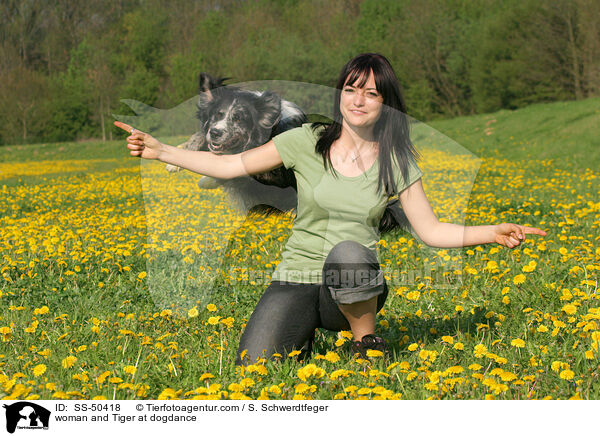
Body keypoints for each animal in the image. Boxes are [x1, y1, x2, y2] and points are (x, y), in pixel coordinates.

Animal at [166, 73, 410, 233]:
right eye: (216, 115)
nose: (215, 133)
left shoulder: (275, 177)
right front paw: (178, 158)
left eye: (239, 118)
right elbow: (202, 140)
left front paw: (207, 178)